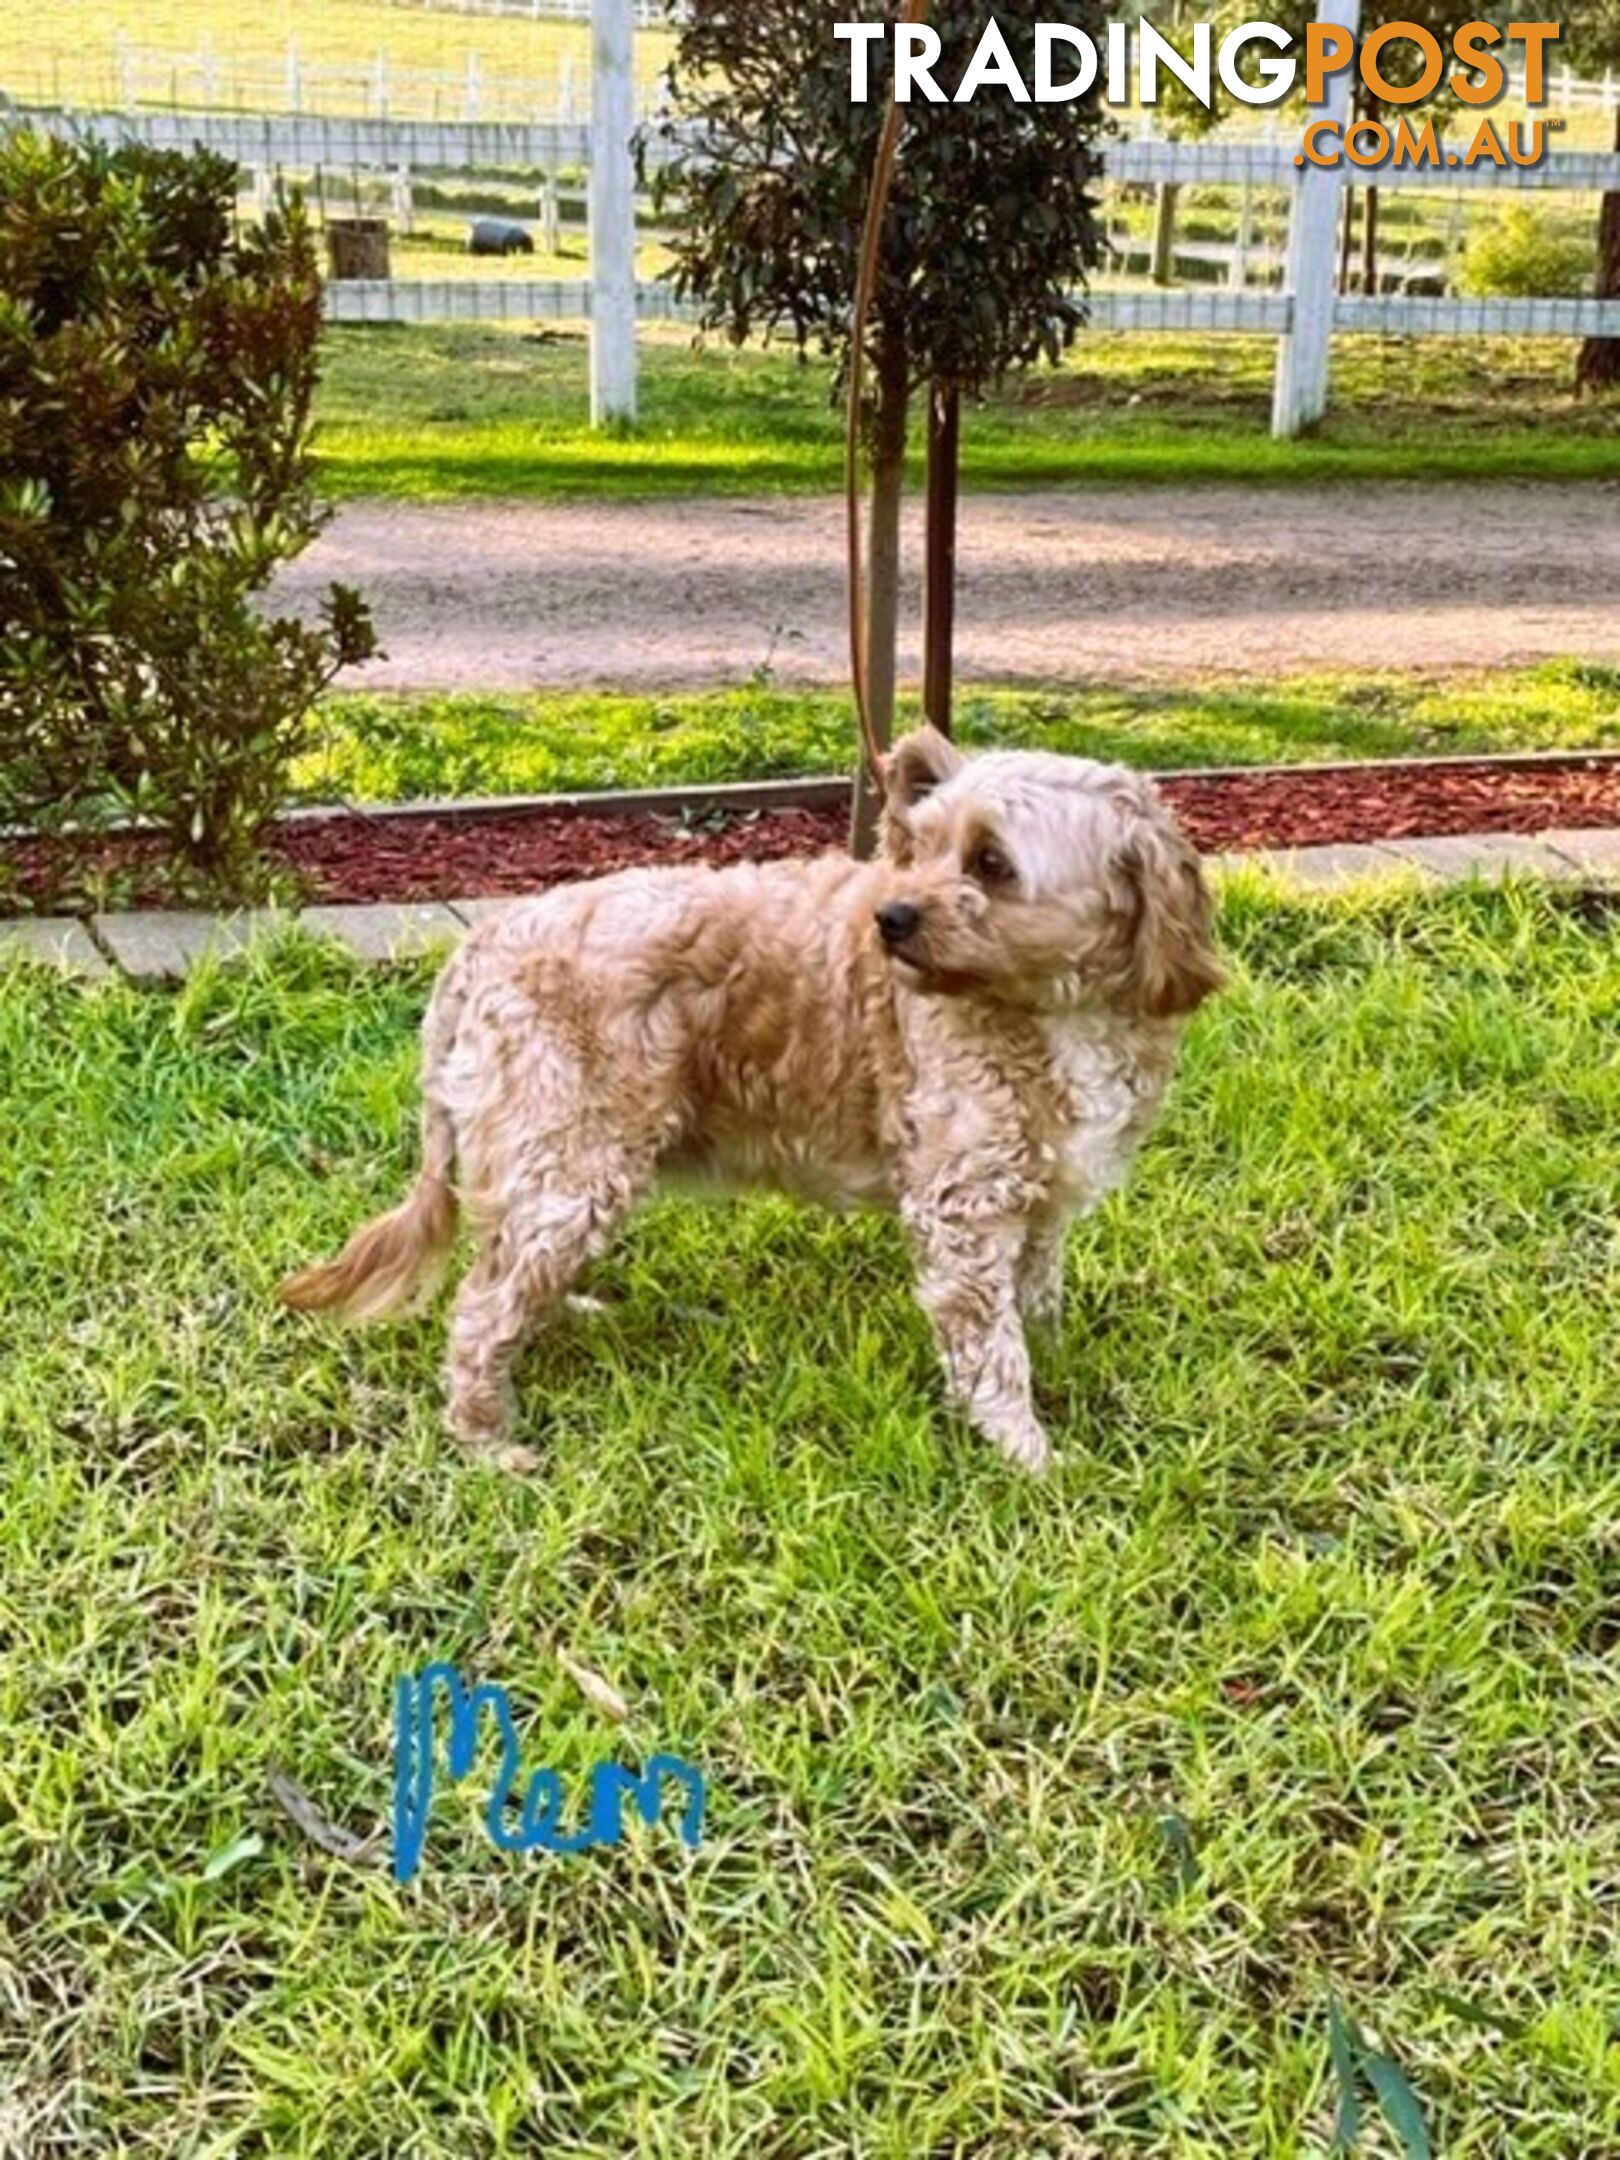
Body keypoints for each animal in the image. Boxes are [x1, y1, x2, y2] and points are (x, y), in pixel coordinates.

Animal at [282, 734, 1218, 1477]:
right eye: (919, 848)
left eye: (992, 863)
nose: (890, 917)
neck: (1052, 1008)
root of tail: (481, 945)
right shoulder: (965, 1210)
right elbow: (991, 1354)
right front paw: (1028, 1455)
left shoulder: (1042, 1199)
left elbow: (1038, 1304)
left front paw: (1060, 1369)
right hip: (572, 1161)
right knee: (480, 1306)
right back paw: (487, 1437)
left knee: (502, 1265)